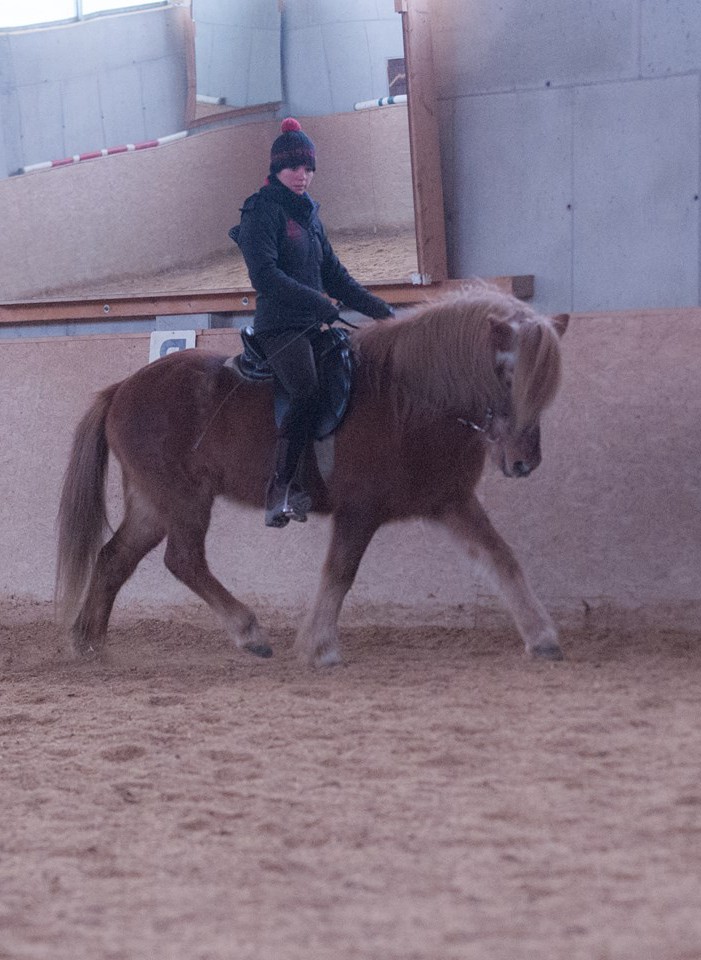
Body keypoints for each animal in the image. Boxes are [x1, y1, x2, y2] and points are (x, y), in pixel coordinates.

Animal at [54, 284, 568, 668]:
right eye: (506, 373)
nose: (524, 462)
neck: (410, 399)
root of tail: (123, 388)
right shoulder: (359, 510)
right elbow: (340, 572)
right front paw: (318, 647)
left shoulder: (450, 502)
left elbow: (501, 558)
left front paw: (542, 637)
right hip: (182, 498)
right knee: (183, 561)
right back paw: (249, 633)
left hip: (151, 501)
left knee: (115, 558)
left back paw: (89, 643)